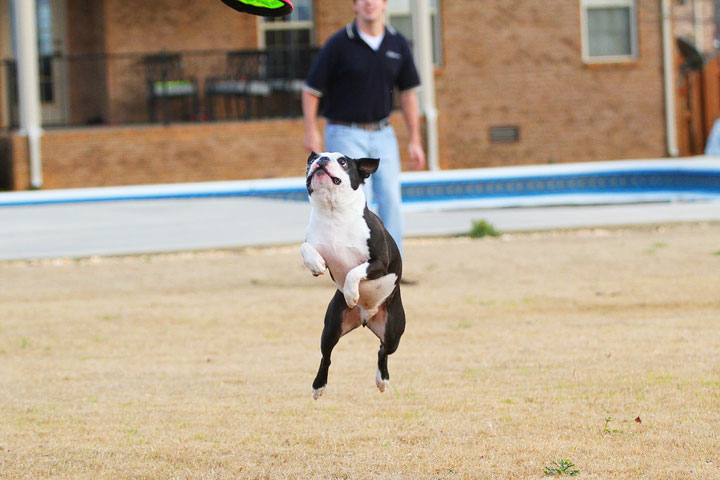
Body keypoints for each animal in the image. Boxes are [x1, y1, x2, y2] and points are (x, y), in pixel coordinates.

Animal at [300, 152, 404, 400]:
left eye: (343, 161)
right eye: (312, 159)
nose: (321, 159)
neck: (333, 212)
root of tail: (366, 318)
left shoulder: (380, 263)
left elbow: (353, 271)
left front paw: (350, 293)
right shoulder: (314, 244)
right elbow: (305, 248)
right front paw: (315, 264)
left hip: (394, 332)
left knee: (383, 351)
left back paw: (382, 380)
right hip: (331, 328)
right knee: (326, 356)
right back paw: (318, 386)